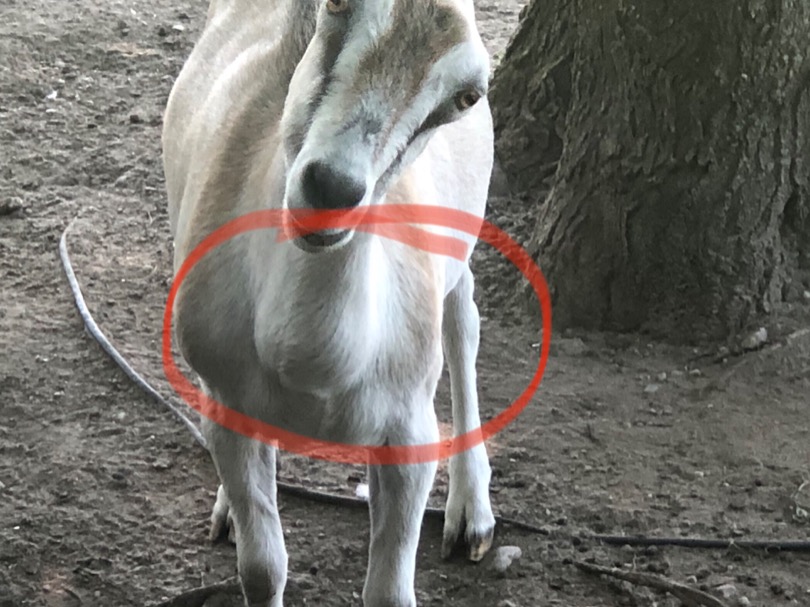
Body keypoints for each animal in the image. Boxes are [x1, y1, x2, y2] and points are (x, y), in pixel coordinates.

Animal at [162, 0, 496, 605]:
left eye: (467, 96)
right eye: (335, 5)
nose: (332, 189)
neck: (311, 369)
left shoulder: (410, 431)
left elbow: (389, 591)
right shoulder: (225, 403)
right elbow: (263, 567)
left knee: (464, 322)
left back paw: (472, 516)